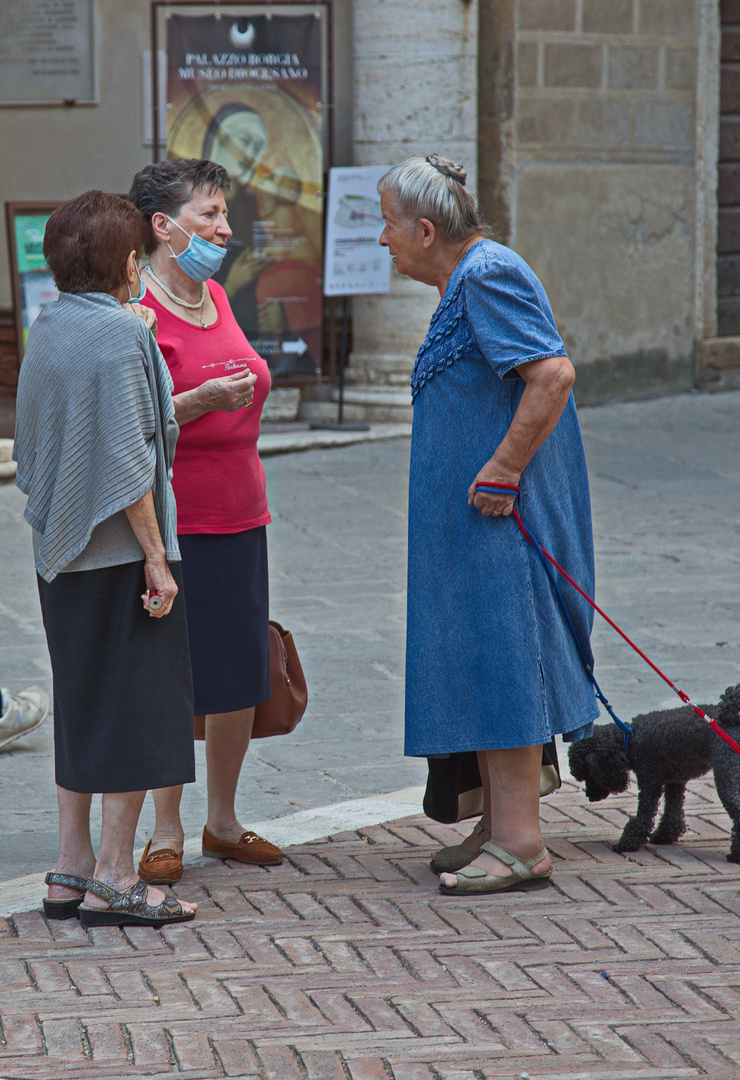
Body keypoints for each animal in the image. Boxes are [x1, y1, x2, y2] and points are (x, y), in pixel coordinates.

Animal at [566, 682, 738, 859]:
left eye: (590, 775)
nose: (590, 797)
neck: (629, 737)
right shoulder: (674, 781)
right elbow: (673, 811)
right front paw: (665, 835)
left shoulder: (649, 780)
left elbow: (644, 815)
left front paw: (627, 843)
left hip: (726, 772)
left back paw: (735, 855)